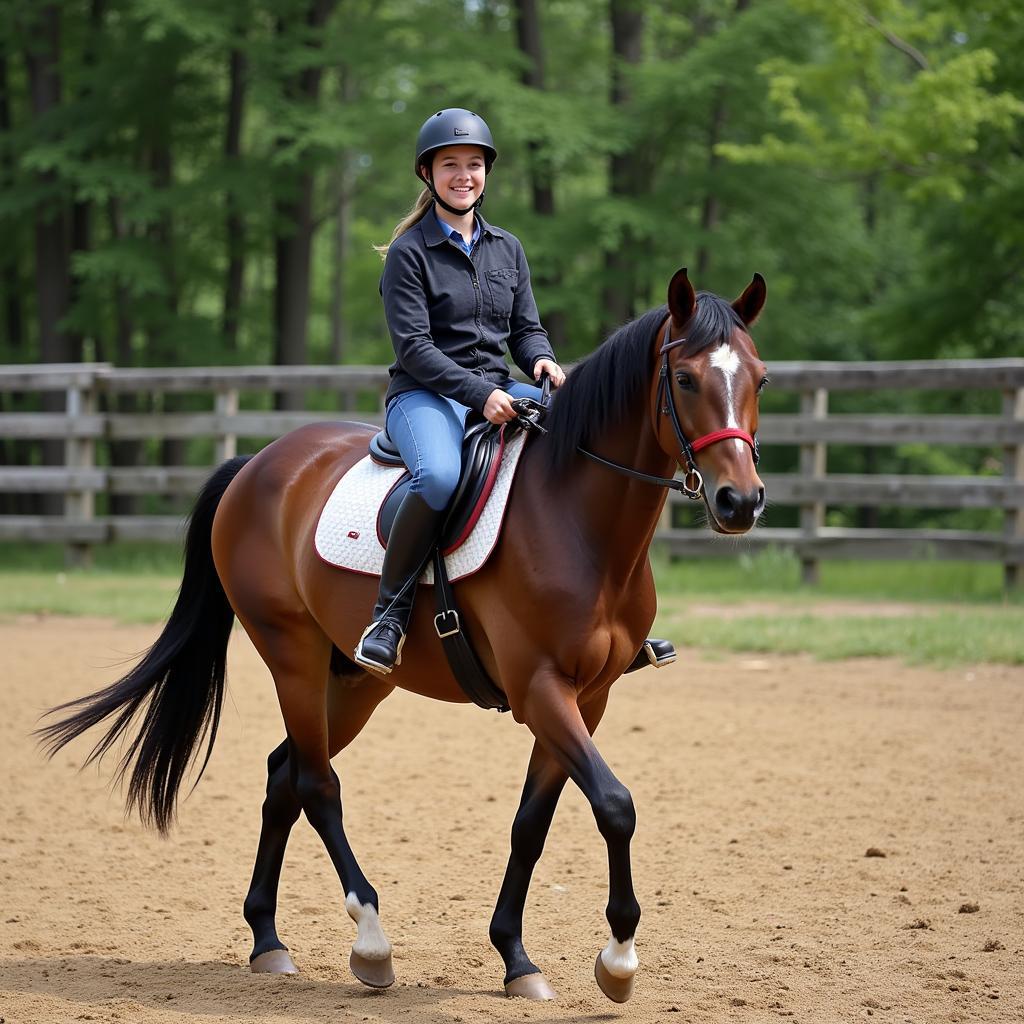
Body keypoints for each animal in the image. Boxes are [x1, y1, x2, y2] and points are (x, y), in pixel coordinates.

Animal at [36, 268, 765, 1003]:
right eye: (686, 380)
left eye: (758, 377)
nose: (741, 502)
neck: (576, 521)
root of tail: (258, 463)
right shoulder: (540, 692)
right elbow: (615, 805)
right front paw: (617, 959)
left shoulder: (588, 699)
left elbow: (532, 824)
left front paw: (517, 958)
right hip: (293, 656)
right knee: (316, 785)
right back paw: (371, 943)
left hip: (355, 682)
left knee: (283, 775)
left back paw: (268, 940)